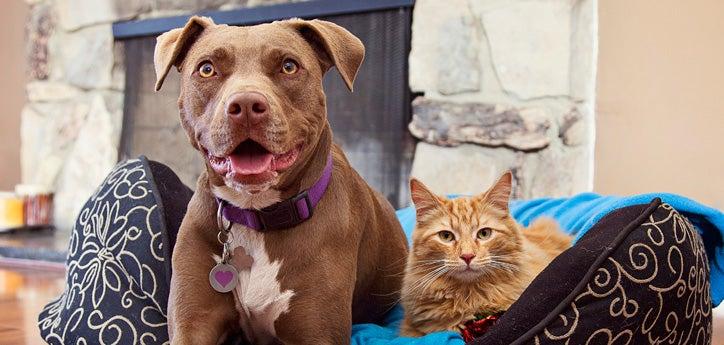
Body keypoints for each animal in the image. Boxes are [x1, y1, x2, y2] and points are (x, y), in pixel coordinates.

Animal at [154, 14, 408, 342]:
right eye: (207, 68)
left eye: (288, 66)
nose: (245, 106)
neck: (256, 215)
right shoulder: (193, 323)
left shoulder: (317, 332)